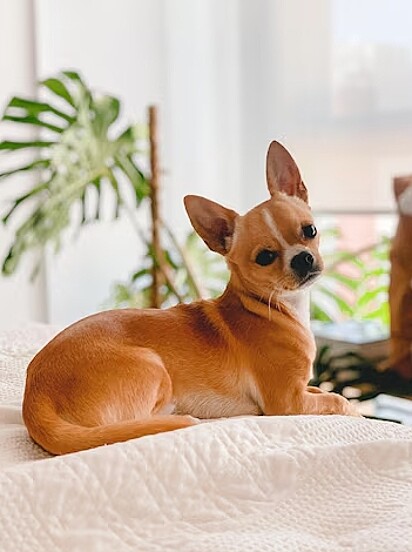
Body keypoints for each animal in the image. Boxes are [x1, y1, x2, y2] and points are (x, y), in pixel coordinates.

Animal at [22, 141, 358, 452]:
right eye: (265, 257)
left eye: (310, 231)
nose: (302, 258)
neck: (273, 307)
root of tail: (35, 398)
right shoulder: (289, 402)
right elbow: (338, 400)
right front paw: (354, 410)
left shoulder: (304, 390)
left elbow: (326, 392)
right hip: (154, 368)